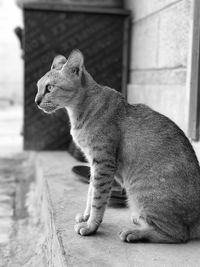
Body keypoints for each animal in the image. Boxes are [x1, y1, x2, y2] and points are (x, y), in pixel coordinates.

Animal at [35, 49, 200, 244]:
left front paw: (90, 226)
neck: (79, 111)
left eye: (49, 88)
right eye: (38, 87)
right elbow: (90, 192)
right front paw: (86, 216)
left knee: (178, 234)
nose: (36, 101)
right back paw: (139, 220)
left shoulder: (103, 162)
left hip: (138, 191)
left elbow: (98, 199)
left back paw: (135, 232)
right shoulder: (93, 162)